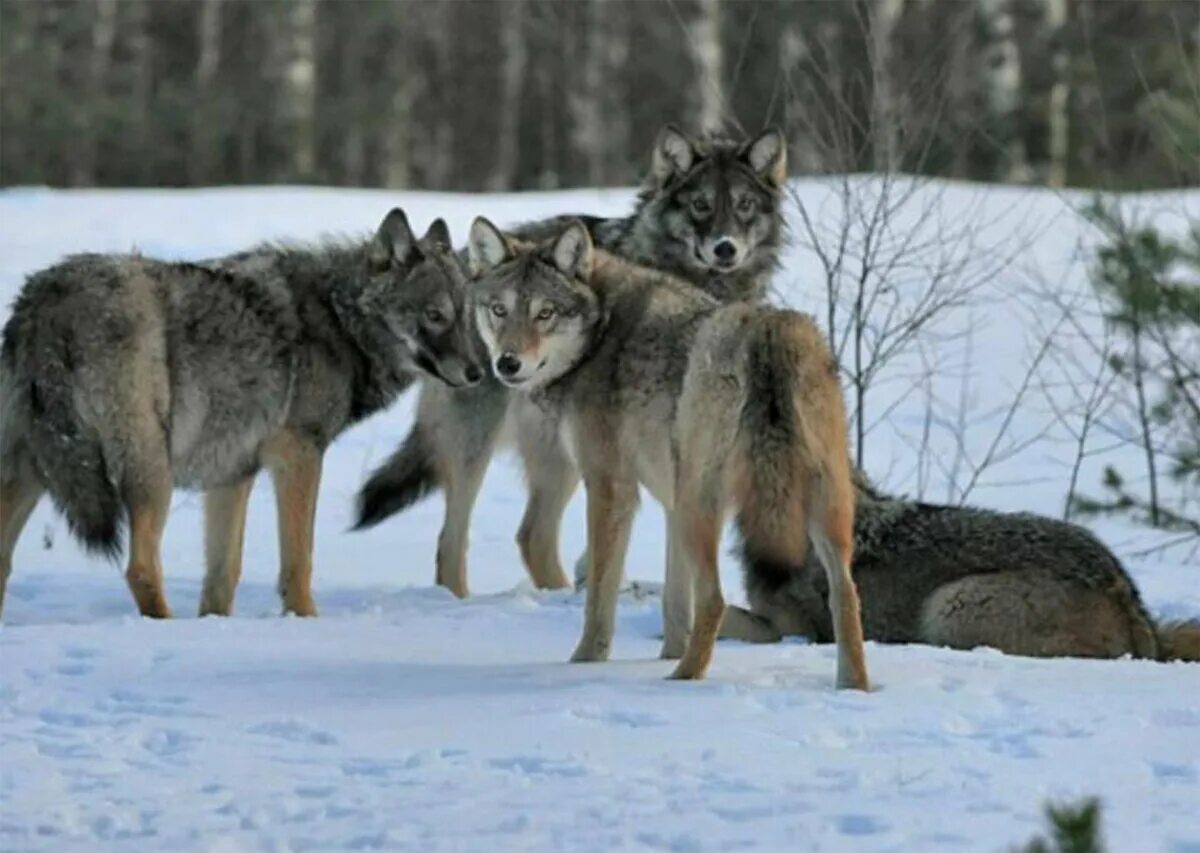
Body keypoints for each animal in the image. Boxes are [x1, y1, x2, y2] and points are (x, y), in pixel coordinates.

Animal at [1, 206, 477, 619]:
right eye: (435, 315)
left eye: (467, 316)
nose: (477, 372)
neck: (338, 320)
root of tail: (44, 300)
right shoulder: (298, 455)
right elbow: (298, 561)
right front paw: (304, 620)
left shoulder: (231, 473)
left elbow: (223, 574)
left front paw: (216, 628)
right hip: (150, 470)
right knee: (139, 568)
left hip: (36, 470)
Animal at [355, 125, 787, 607]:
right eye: (701, 205)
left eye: (744, 205)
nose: (725, 248)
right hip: (482, 444)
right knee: (453, 540)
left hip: (557, 452)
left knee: (532, 535)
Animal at [460, 220, 873, 686]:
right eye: (499, 310)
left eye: (545, 313)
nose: (507, 364)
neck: (600, 330)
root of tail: (768, 330)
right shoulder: (670, 503)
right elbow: (675, 605)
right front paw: (666, 654)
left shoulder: (611, 489)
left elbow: (600, 596)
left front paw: (586, 662)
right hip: (821, 507)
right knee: (845, 594)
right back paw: (853, 687)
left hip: (702, 504)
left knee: (714, 598)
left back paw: (684, 680)